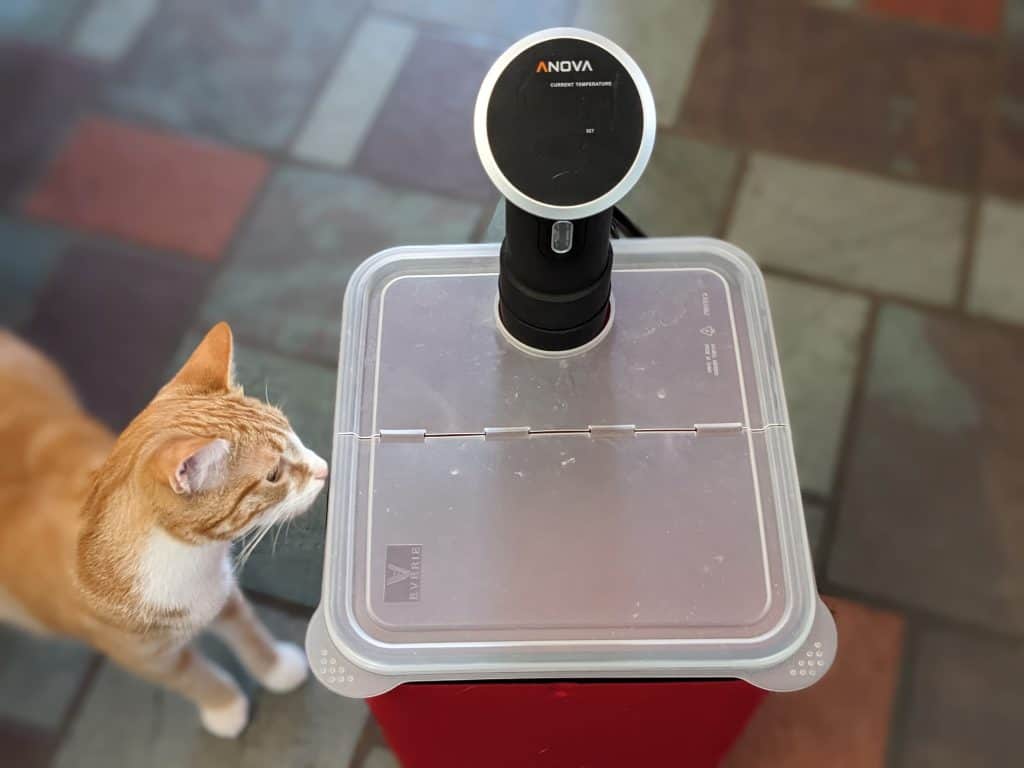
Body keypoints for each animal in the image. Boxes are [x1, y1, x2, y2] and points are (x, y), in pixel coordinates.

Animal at [0, 325, 325, 741]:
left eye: (294, 434)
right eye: (273, 476)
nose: (325, 468)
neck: (189, 556)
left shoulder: (221, 592)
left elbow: (249, 630)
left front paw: (276, 668)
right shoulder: (143, 657)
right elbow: (194, 676)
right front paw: (225, 708)